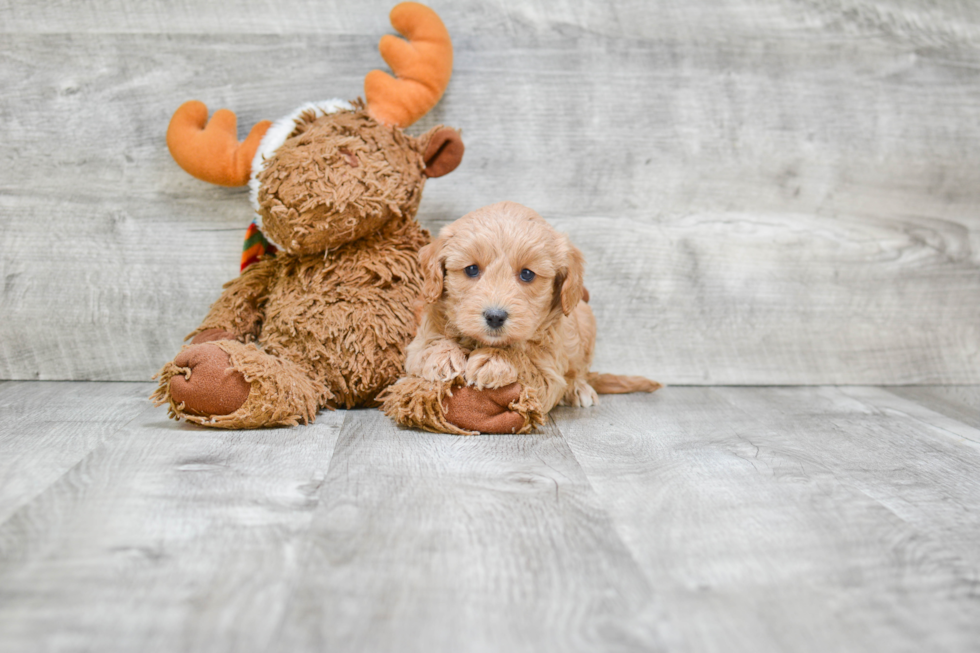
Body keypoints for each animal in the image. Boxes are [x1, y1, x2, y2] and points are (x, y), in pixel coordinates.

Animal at [400, 201, 668, 430]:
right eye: (472, 269)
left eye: (527, 274)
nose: (495, 316)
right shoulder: (416, 344)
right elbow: (427, 346)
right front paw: (442, 355)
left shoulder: (548, 374)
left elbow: (525, 361)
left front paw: (494, 360)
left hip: (585, 317)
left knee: (579, 371)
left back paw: (579, 388)